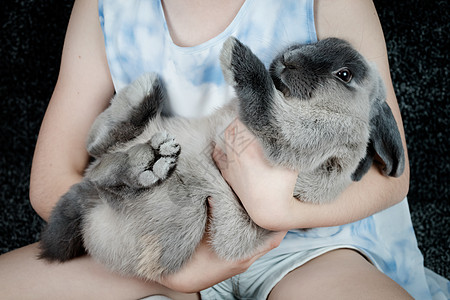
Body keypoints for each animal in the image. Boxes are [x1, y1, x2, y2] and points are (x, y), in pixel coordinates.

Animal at [38, 37, 404, 282]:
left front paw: (235, 52)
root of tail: (90, 198)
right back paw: (145, 110)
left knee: (110, 174)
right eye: (319, 41)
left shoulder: (304, 134)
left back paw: (149, 163)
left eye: (344, 75)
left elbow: (266, 108)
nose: (287, 59)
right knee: (101, 149)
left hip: (185, 221)